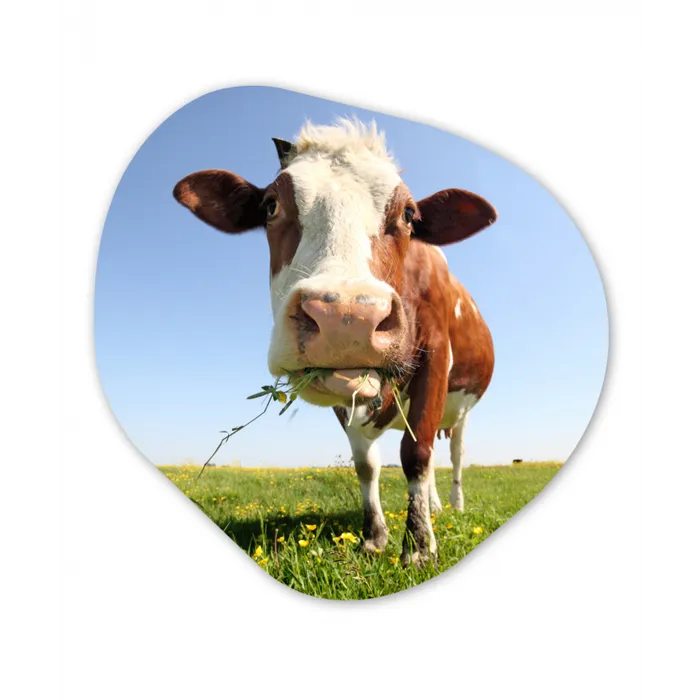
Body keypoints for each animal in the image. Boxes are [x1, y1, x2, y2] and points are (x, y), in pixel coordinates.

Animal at [173, 119, 496, 566]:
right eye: (270, 206)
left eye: (409, 214)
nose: (347, 317)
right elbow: (366, 464)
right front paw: (375, 537)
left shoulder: (435, 356)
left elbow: (415, 455)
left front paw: (418, 547)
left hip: (462, 410)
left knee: (452, 455)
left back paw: (452, 506)